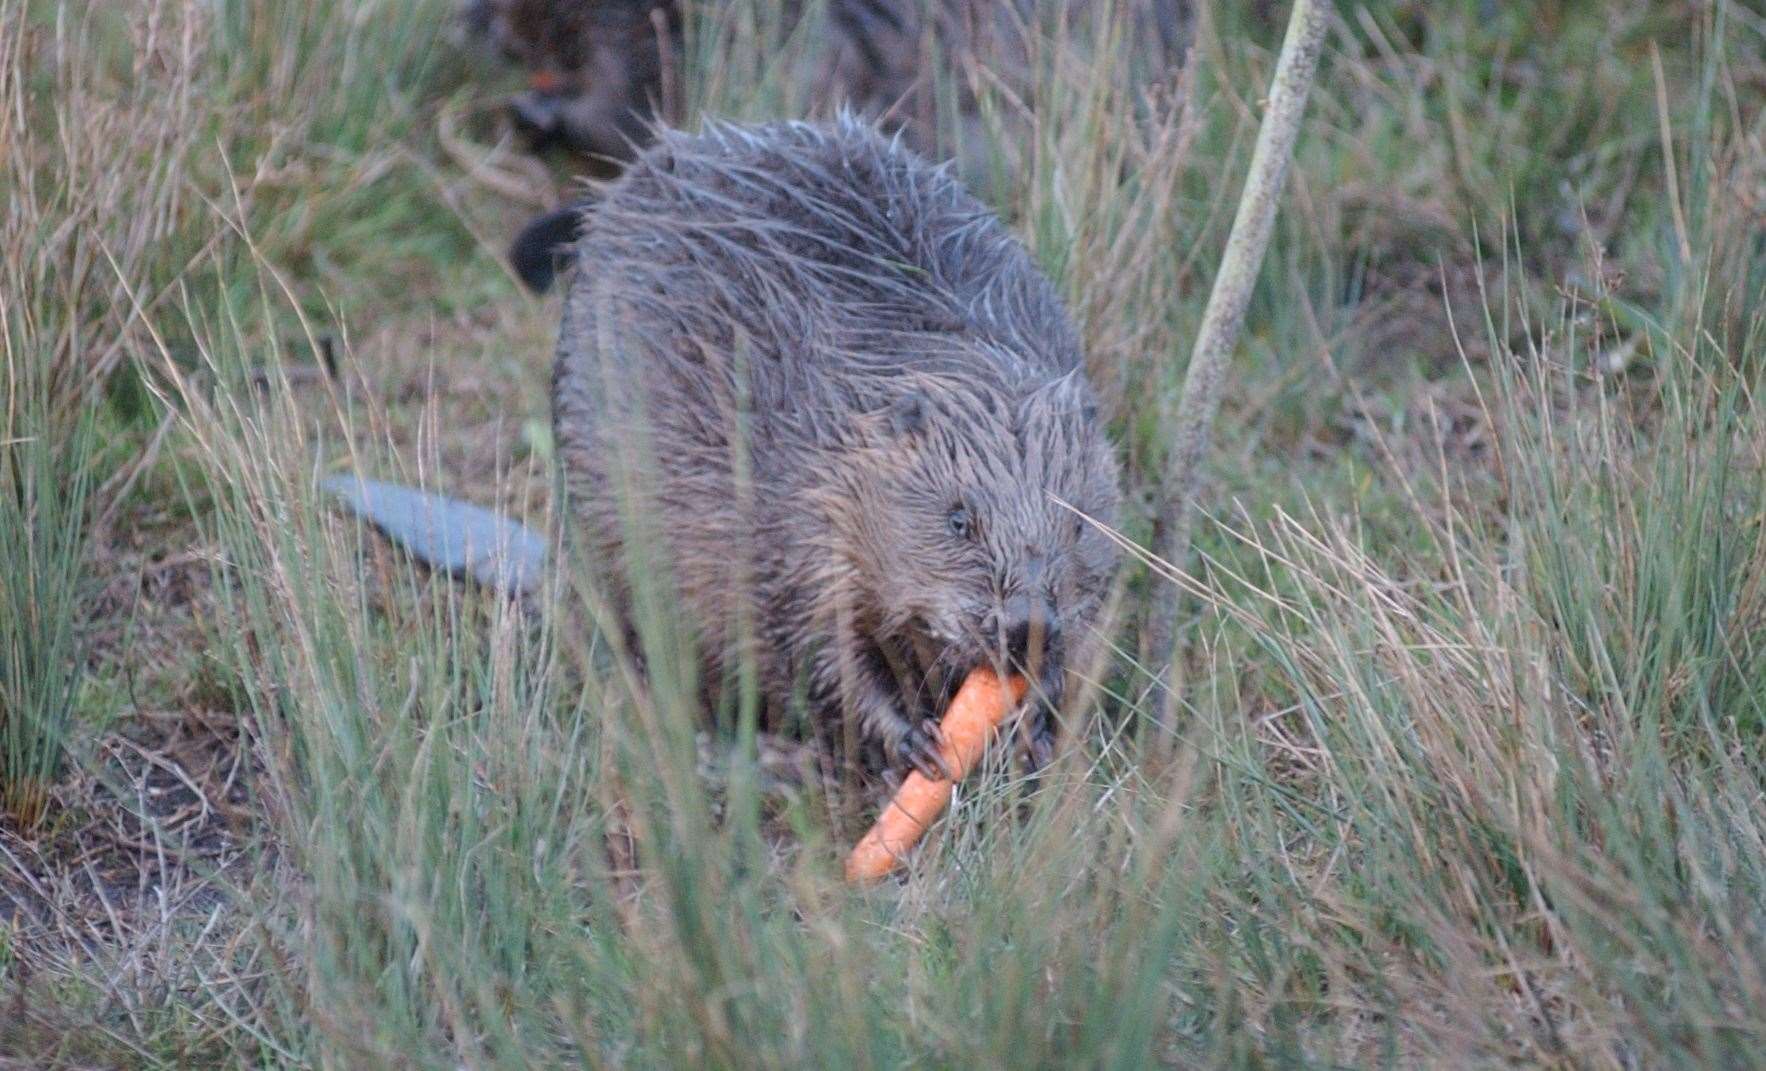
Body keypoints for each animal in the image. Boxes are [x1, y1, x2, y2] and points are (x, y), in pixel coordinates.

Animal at [554, 117, 1116, 777]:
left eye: (1079, 524)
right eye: (958, 520)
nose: (1026, 625)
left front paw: (1034, 719)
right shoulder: (786, 515)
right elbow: (809, 645)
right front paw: (915, 743)